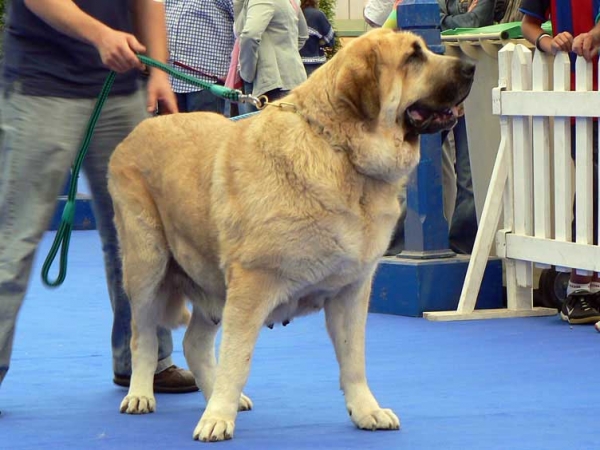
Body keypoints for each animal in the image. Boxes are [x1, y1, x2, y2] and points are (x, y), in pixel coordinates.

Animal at [108, 26, 474, 442]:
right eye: (413, 57)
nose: (471, 67)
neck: (341, 154)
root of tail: (140, 129)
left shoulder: (350, 292)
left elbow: (354, 360)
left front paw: (367, 410)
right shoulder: (250, 287)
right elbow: (237, 358)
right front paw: (217, 417)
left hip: (211, 286)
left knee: (195, 342)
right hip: (147, 266)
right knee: (143, 336)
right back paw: (141, 395)